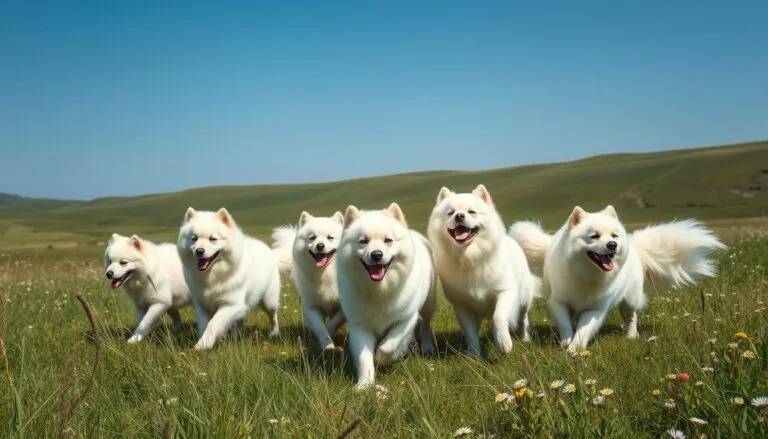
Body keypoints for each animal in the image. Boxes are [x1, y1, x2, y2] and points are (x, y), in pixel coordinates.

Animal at [177, 209, 282, 350]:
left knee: (273, 316)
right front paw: (205, 340)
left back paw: (274, 333)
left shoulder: (230, 304)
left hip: (268, 300)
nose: (199, 251)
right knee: (239, 321)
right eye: (194, 238)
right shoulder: (201, 305)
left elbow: (213, 323)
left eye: (213, 239)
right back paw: (235, 337)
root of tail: (270, 251)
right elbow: (204, 325)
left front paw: (202, 345)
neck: (213, 276)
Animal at [268, 211, 344, 352]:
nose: (320, 246)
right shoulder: (310, 306)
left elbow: (333, 323)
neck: (325, 274)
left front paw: (327, 343)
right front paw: (326, 344)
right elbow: (320, 327)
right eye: (312, 238)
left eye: (330, 237)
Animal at [338, 202, 438, 388]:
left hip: (429, 303)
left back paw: (427, 346)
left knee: (426, 325)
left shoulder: (406, 318)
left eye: (388, 240)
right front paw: (364, 384)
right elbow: (364, 357)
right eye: (363, 241)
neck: (379, 290)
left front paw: (382, 357)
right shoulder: (360, 326)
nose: (377, 254)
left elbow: (388, 346)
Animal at [426, 186, 540, 358]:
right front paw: (474, 354)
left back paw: (526, 338)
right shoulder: (462, 305)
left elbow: (498, 317)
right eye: (450, 213)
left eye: (472, 212)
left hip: (524, 298)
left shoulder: (505, 292)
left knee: (524, 317)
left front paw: (503, 343)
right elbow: (471, 333)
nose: (459, 216)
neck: (470, 257)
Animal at [510, 206, 728, 354]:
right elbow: (565, 324)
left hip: (630, 299)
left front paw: (575, 348)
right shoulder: (559, 302)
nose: (612, 245)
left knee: (631, 317)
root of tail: (634, 245)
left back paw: (631, 335)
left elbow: (584, 329)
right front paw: (566, 341)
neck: (586, 274)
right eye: (594, 236)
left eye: (614, 235)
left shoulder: (595, 310)